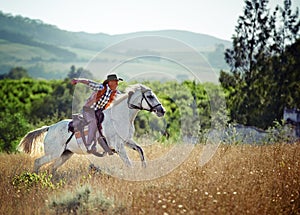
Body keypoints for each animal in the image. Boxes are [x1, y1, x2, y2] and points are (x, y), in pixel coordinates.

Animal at [17, 83, 165, 173]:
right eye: (150, 96)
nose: (162, 111)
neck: (120, 117)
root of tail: (50, 128)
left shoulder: (127, 141)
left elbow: (140, 150)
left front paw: (144, 168)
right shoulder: (119, 146)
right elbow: (129, 164)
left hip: (65, 154)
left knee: (53, 168)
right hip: (53, 153)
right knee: (38, 162)